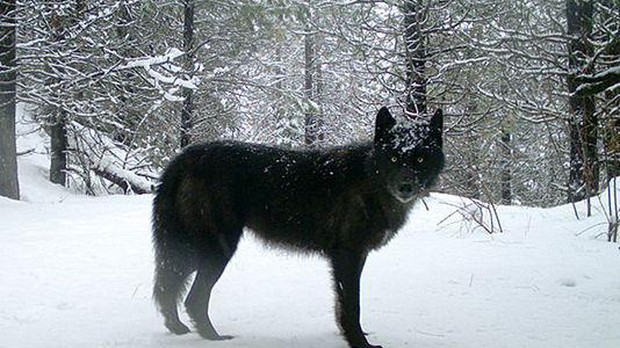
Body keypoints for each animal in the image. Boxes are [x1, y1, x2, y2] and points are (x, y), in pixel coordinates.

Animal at [152, 106, 444, 348]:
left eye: (420, 159)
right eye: (394, 158)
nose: (405, 186)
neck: (370, 180)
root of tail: (183, 158)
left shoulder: (353, 257)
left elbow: (341, 306)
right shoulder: (347, 256)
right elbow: (352, 306)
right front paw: (359, 343)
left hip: (192, 251)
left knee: (168, 286)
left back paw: (177, 328)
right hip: (216, 251)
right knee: (192, 297)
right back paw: (213, 337)